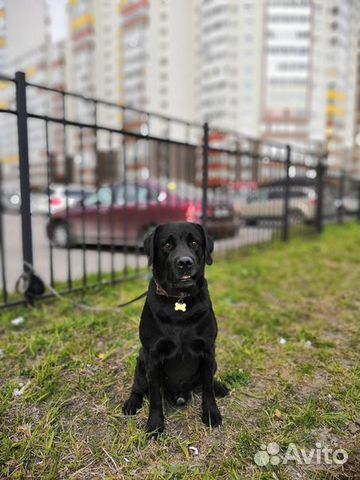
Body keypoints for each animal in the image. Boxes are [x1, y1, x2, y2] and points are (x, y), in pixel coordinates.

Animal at [122, 222, 229, 436]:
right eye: (167, 245)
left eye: (195, 243)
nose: (185, 262)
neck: (179, 300)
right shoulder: (153, 355)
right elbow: (155, 396)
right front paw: (155, 424)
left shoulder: (207, 350)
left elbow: (207, 389)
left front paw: (211, 413)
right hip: (141, 361)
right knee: (138, 388)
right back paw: (131, 404)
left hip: (213, 361)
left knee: (208, 380)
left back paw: (219, 386)